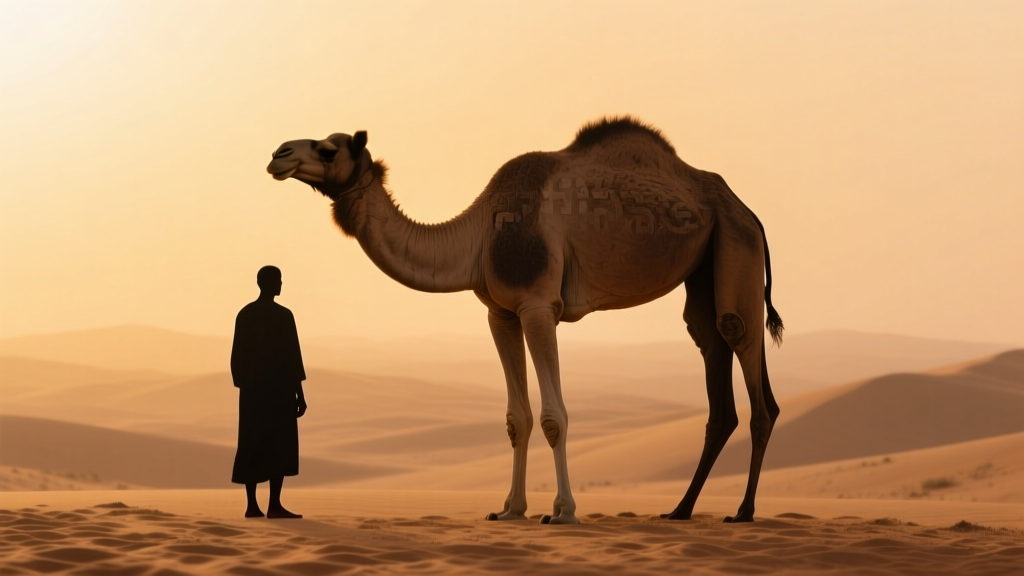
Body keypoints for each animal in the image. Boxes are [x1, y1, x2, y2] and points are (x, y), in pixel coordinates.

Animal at [267, 117, 783, 524]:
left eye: (328, 148)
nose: (278, 153)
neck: (478, 234)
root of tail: (749, 211)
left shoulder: (538, 306)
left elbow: (555, 416)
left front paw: (563, 511)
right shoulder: (500, 313)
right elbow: (518, 418)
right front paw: (509, 509)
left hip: (736, 243)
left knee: (743, 349)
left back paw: (744, 512)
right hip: (705, 266)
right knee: (711, 351)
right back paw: (680, 510)